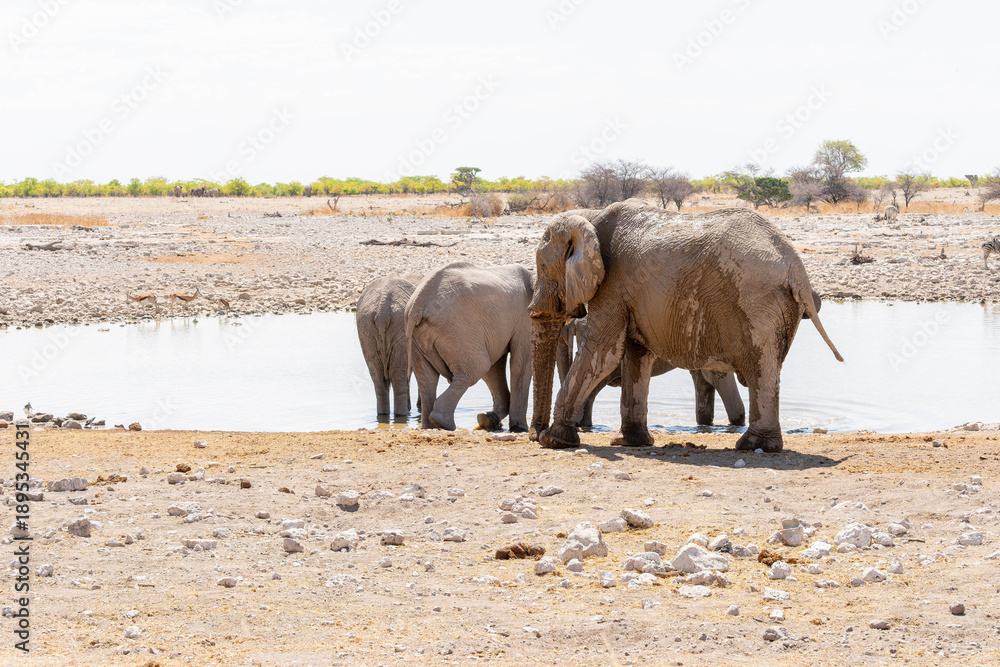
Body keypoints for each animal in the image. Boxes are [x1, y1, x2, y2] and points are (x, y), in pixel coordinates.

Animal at [356, 272, 423, 418]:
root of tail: (382, 311)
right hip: (399, 325)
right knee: (399, 379)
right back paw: (402, 415)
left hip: (366, 328)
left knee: (379, 379)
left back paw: (385, 416)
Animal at [406, 262, 533, 432]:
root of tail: (417, 304)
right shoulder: (526, 317)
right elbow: (520, 365)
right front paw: (520, 429)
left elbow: (495, 368)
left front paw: (489, 420)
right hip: (457, 329)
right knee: (478, 367)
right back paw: (443, 423)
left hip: (420, 337)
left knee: (427, 378)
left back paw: (430, 427)